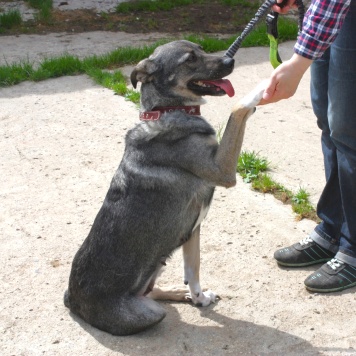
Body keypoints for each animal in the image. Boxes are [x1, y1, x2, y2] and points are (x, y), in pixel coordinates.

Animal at [63, 40, 264, 336]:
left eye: (201, 48)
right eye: (190, 59)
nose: (230, 61)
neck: (168, 111)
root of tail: (72, 300)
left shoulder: (192, 230)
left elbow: (194, 269)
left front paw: (199, 297)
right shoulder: (223, 170)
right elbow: (236, 110)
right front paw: (262, 89)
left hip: (160, 260)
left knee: (151, 289)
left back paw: (181, 293)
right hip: (151, 311)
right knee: (151, 301)